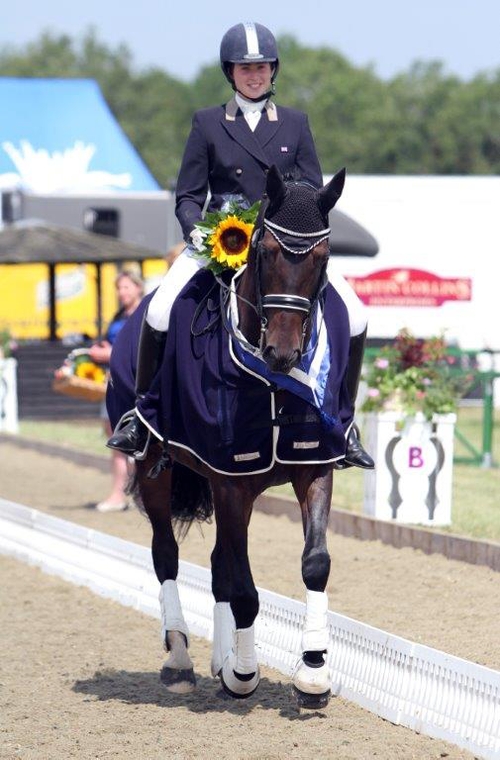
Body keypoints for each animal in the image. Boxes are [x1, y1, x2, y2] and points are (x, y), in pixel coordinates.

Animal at [109, 165, 352, 708]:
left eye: (324, 257)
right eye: (264, 251)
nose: (283, 353)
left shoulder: (314, 467)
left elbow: (315, 564)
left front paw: (313, 673)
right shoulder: (231, 478)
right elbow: (242, 586)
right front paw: (244, 674)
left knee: (219, 563)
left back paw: (221, 659)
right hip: (155, 470)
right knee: (167, 555)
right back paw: (181, 661)